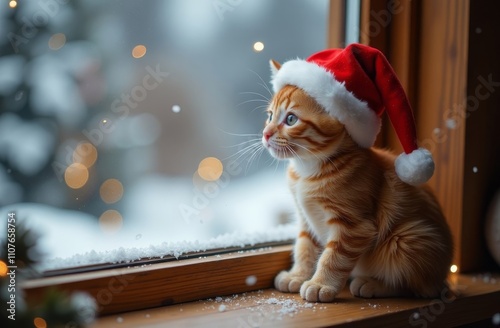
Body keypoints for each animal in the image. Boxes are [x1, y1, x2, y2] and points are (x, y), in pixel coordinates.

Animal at [264, 62, 456, 302]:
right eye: (270, 116)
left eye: (291, 119)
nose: (265, 134)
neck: (307, 171)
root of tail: (443, 276)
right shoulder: (305, 219)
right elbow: (304, 247)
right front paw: (297, 275)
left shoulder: (354, 226)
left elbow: (333, 257)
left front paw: (320, 284)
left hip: (406, 240)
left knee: (414, 288)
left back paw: (372, 284)